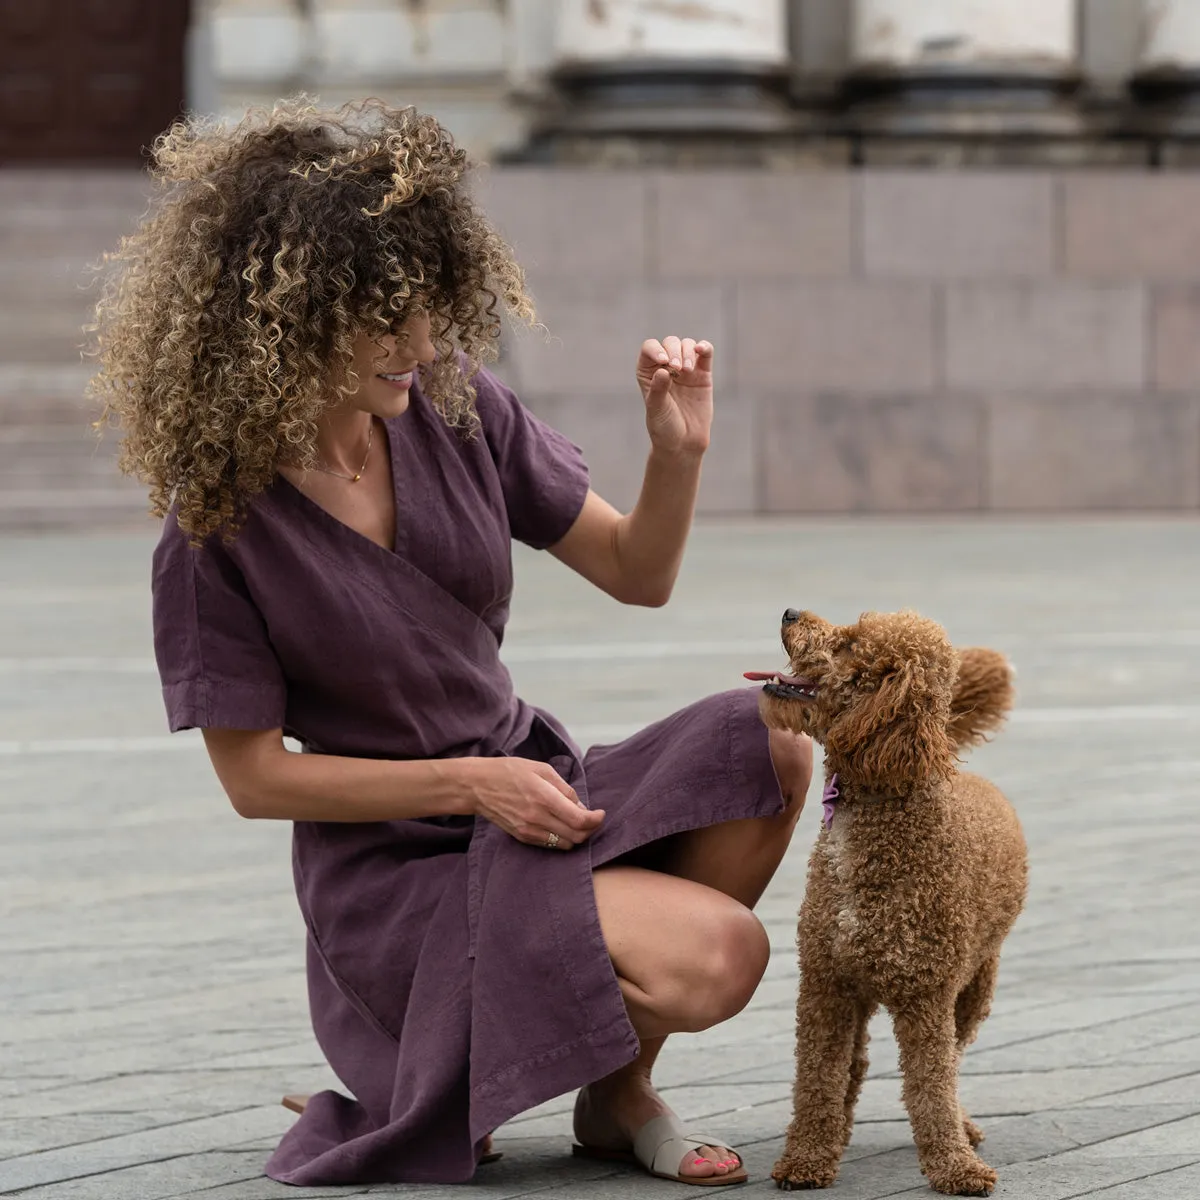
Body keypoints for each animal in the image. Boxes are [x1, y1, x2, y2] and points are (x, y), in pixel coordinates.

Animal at [748, 614, 1022, 1195]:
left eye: (850, 645)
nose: (789, 613)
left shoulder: (925, 995)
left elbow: (931, 1086)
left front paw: (955, 1166)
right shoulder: (826, 982)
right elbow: (817, 1079)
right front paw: (807, 1157)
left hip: (973, 990)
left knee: (952, 1061)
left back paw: (961, 1126)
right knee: (854, 1065)